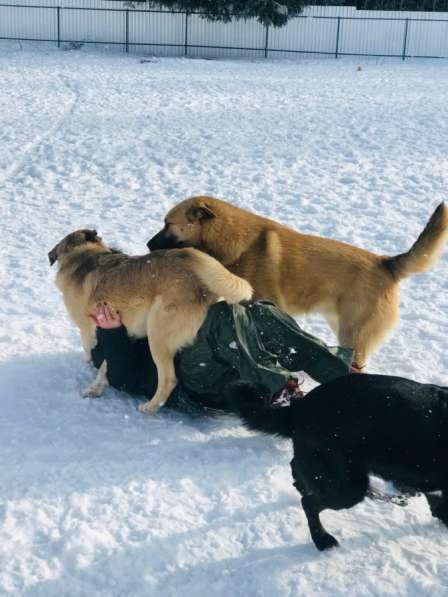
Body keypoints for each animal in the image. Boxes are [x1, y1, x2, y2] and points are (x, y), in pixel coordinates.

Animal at [49, 226, 254, 412]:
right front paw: (96, 387)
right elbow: (106, 366)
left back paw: (150, 407)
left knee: (169, 380)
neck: (83, 257)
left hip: (157, 335)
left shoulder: (88, 331)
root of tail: (203, 286)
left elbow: (91, 355)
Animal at [224, 374, 448, 552]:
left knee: (298, 471)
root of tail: (298, 409)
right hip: (348, 487)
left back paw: (302, 486)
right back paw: (322, 539)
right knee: (308, 502)